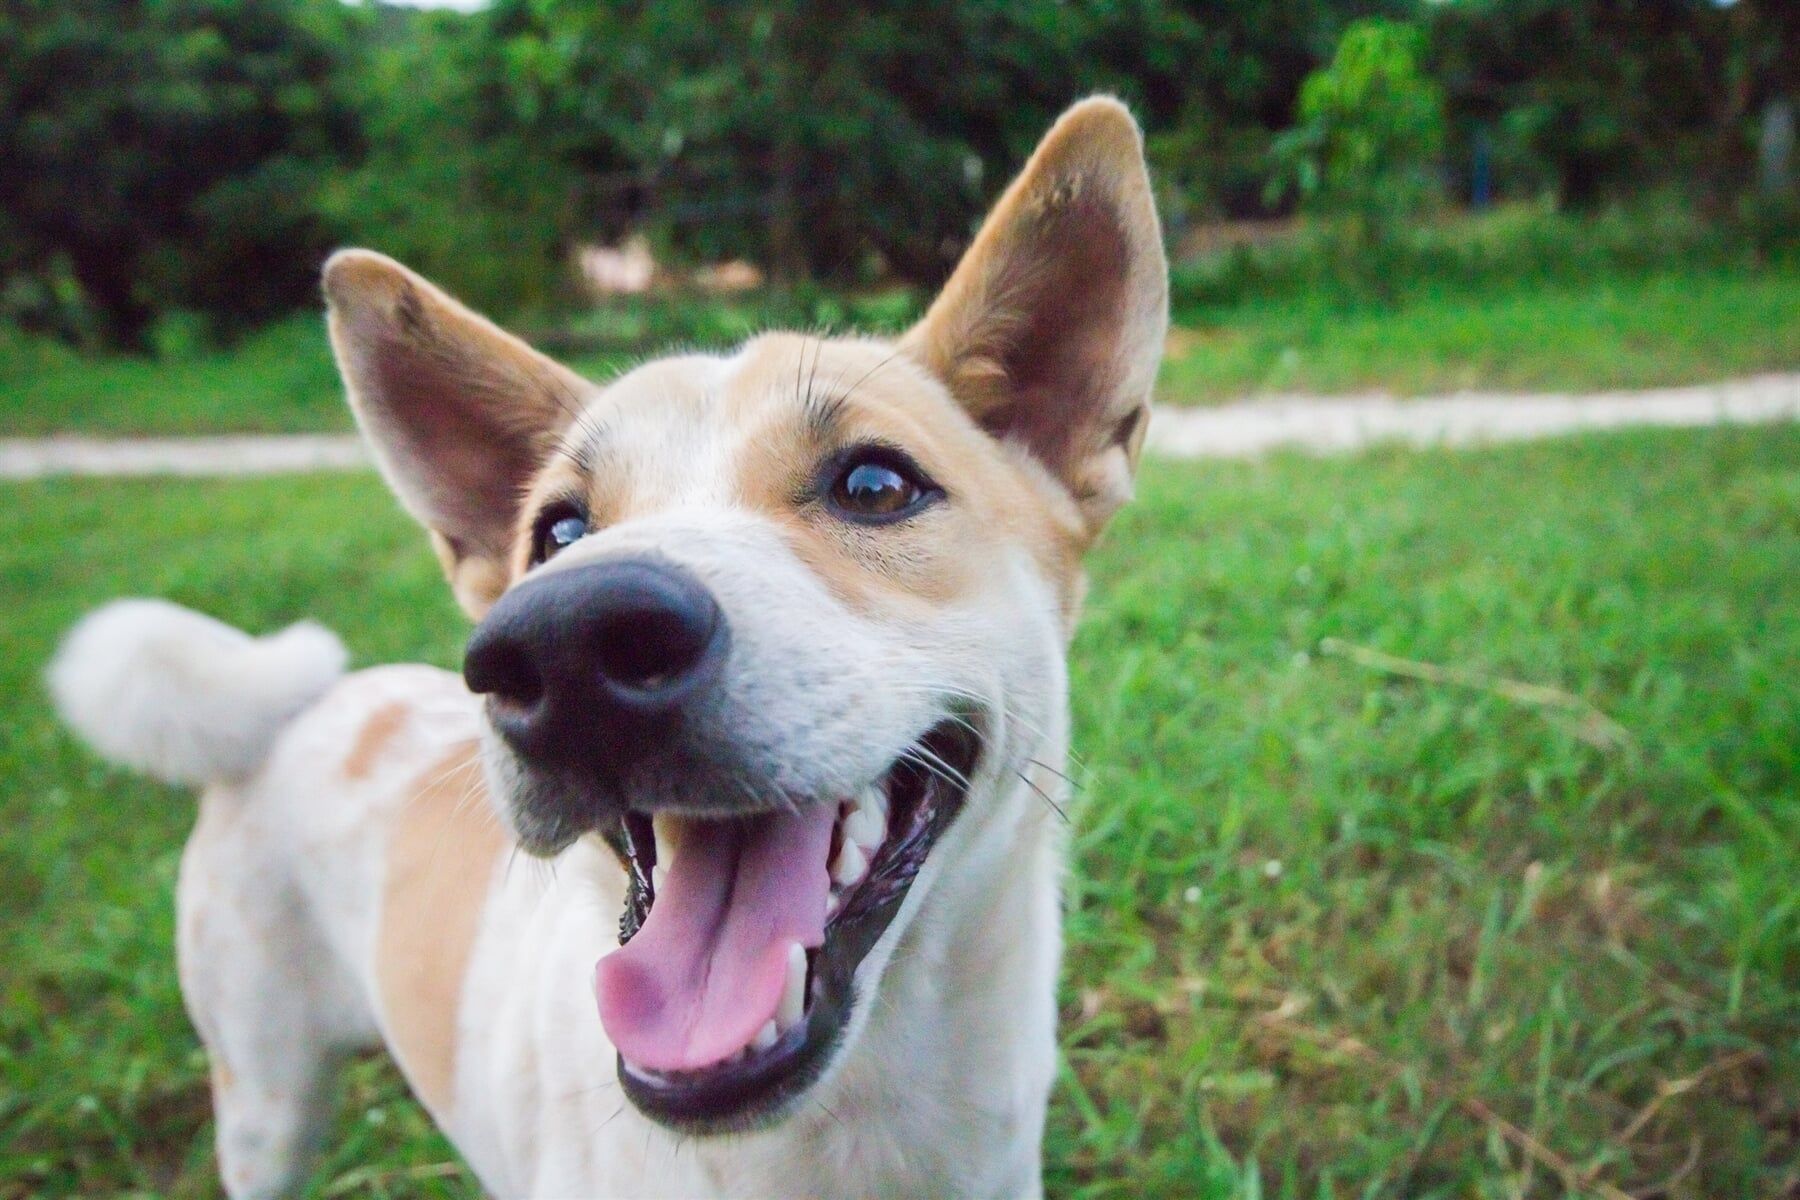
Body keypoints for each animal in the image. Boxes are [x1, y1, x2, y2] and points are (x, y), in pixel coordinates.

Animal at [52, 98, 1166, 1194]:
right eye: (557, 534)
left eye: (876, 485)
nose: (566, 642)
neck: (829, 1142)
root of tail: (289, 711)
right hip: (265, 1102)